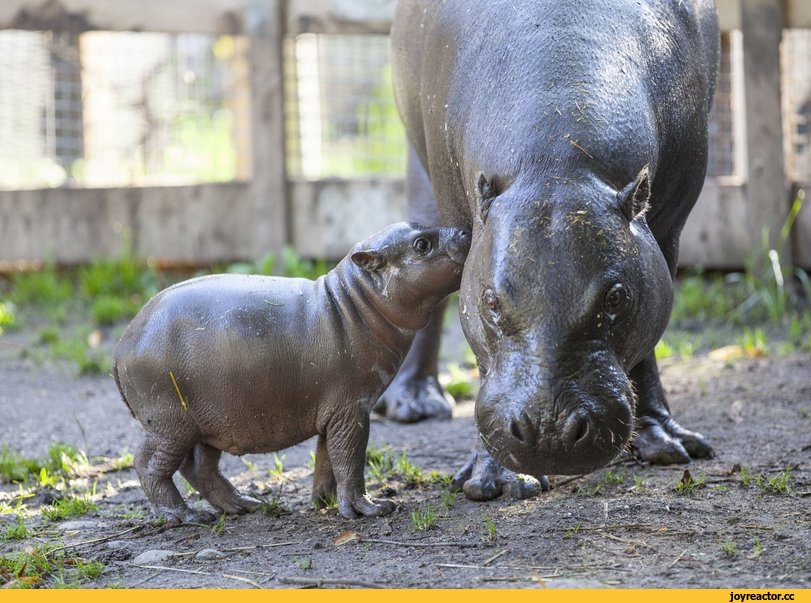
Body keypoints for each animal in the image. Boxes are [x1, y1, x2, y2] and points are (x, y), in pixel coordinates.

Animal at [113, 223, 470, 524]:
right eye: (422, 244)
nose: (465, 231)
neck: (355, 300)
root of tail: (122, 343)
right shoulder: (352, 408)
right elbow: (350, 459)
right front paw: (371, 508)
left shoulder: (335, 413)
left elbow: (327, 458)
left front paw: (325, 502)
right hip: (169, 423)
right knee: (149, 465)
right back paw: (185, 516)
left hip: (208, 420)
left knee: (200, 467)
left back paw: (244, 505)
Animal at [390, 0, 720, 500]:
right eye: (490, 302)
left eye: (616, 298)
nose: (549, 431)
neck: (556, 159)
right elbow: (482, 358)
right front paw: (497, 481)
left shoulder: (667, 226)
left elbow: (647, 342)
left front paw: (666, 445)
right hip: (420, 169)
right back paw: (414, 404)